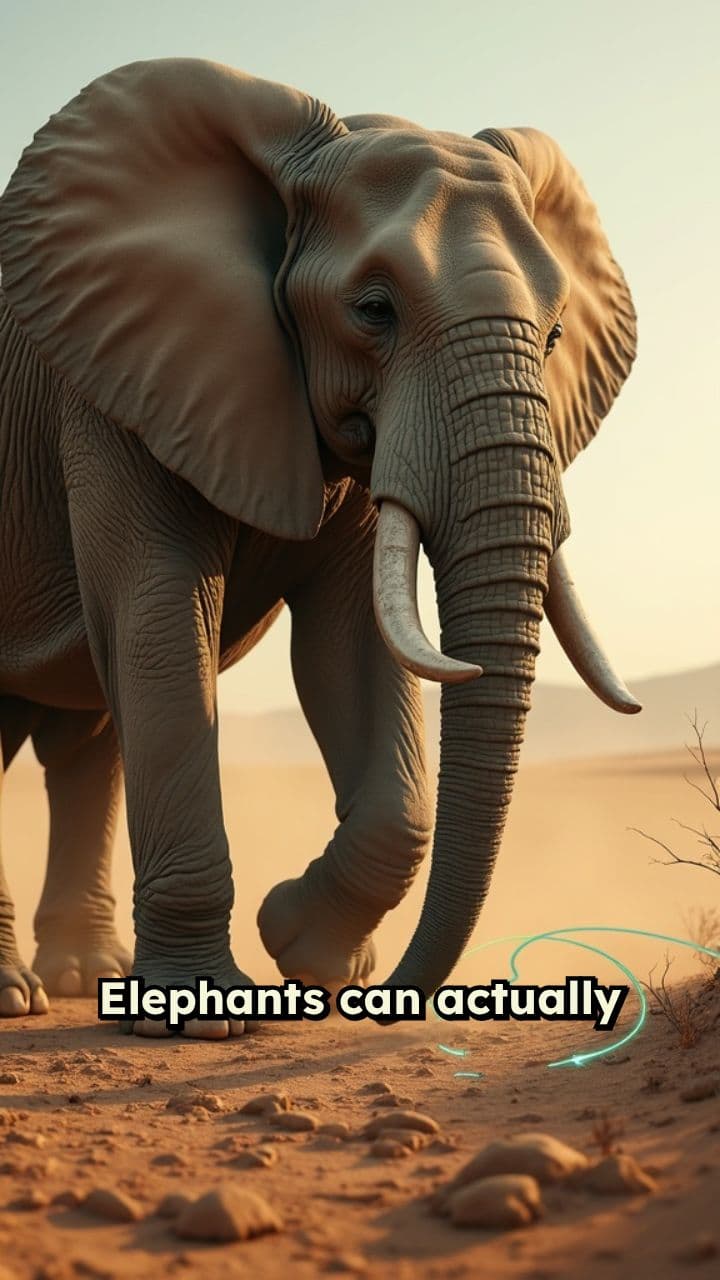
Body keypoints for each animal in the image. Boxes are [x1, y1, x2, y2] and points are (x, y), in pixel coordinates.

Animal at [0, 58, 640, 1038]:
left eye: (558, 332)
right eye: (373, 311)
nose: (395, 1000)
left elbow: (351, 647)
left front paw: (312, 958)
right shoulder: (111, 382)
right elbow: (160, 619)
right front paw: (207, 1013)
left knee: (90, 732)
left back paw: (83, 978)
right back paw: (22, 994)